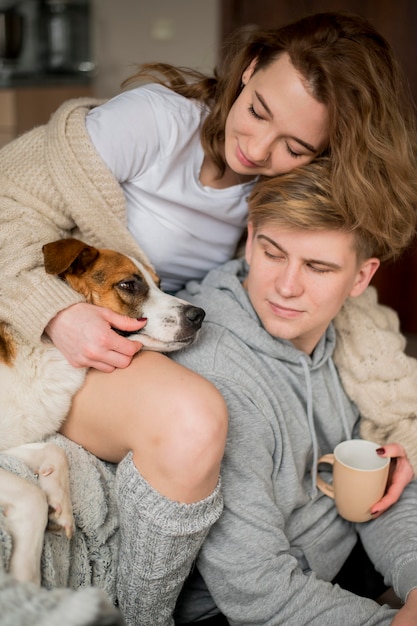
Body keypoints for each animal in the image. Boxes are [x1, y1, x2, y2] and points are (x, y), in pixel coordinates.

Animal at [0, 236, 205, 584]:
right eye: (128, 285)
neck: (48, 356)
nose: (199, 314)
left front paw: (59, 500)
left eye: (160, 284)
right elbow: (30, 495)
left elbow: (55, 452)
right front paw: (25, 581)